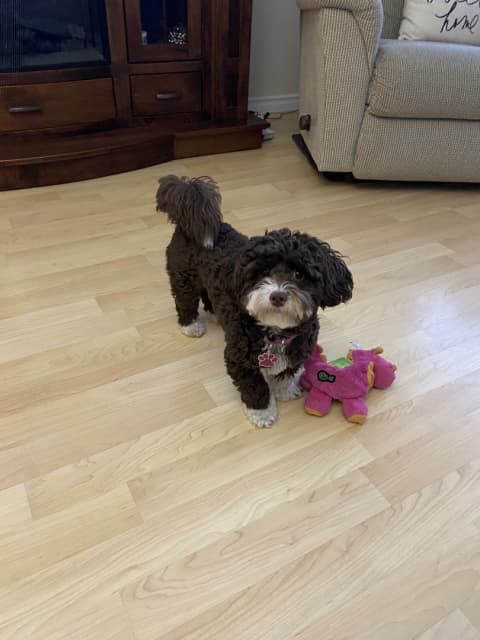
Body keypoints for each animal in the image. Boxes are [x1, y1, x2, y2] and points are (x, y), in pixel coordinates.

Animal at [157, 175, 353, 428]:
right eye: (263, 272)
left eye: (299, 274)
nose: (278, 295)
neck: (275, 332)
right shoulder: (240, 359)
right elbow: (254, 387)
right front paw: (262, 413)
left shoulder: (298, 349)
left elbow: (284, 373)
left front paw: (284, 391)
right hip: (184, 278)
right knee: (185, 301)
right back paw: (191, 325)